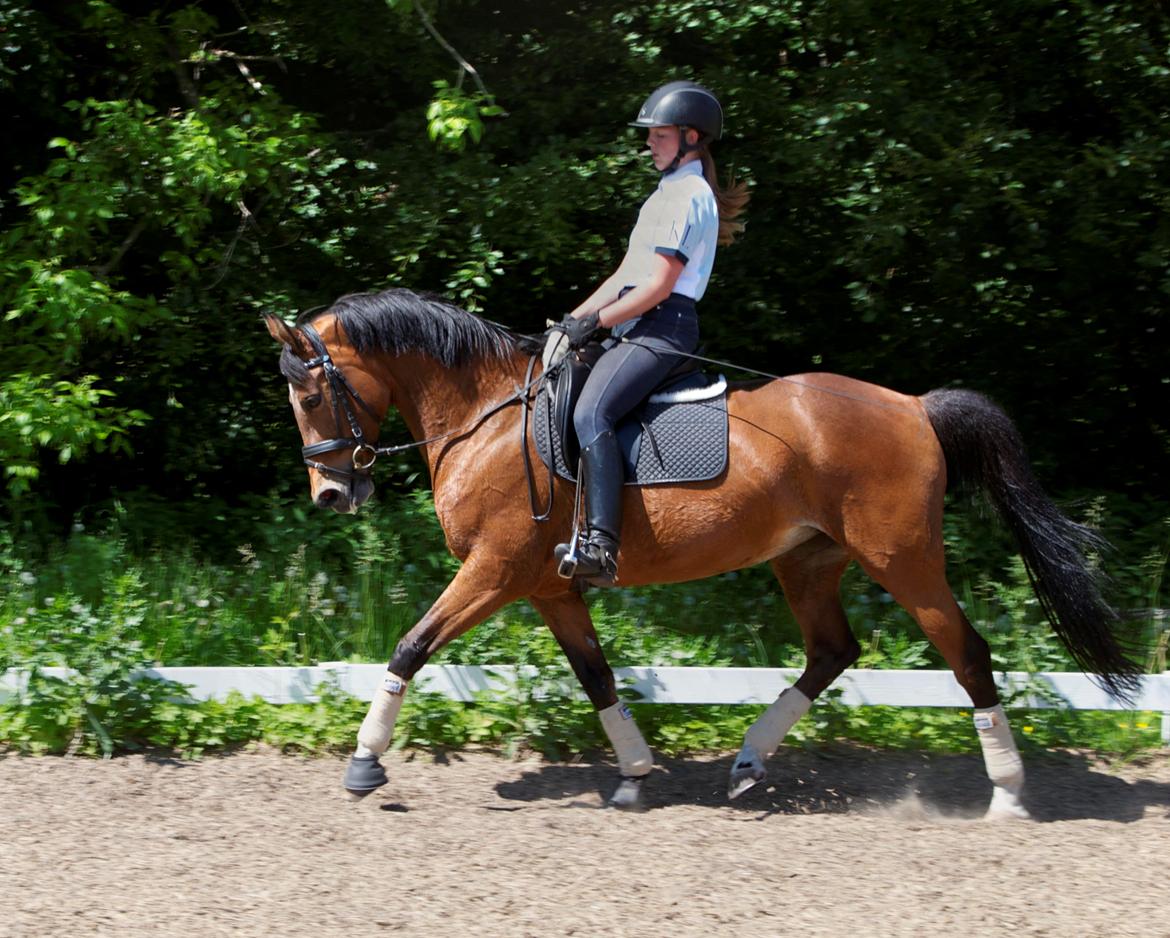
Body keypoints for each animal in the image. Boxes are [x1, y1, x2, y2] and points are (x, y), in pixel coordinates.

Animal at [264, 287, 1140, 816]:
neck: (486, 416)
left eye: (308, 393)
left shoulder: (493, 571)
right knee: (833, 651)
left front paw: (364, 762)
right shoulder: (549, 587)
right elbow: (595, 675)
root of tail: (914, 407)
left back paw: (1008, 791)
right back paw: (748, 762)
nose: (332, 496)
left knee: (967, 653)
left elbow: (410, 646)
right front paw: (634, 774)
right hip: (807, 560)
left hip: (905, 560)